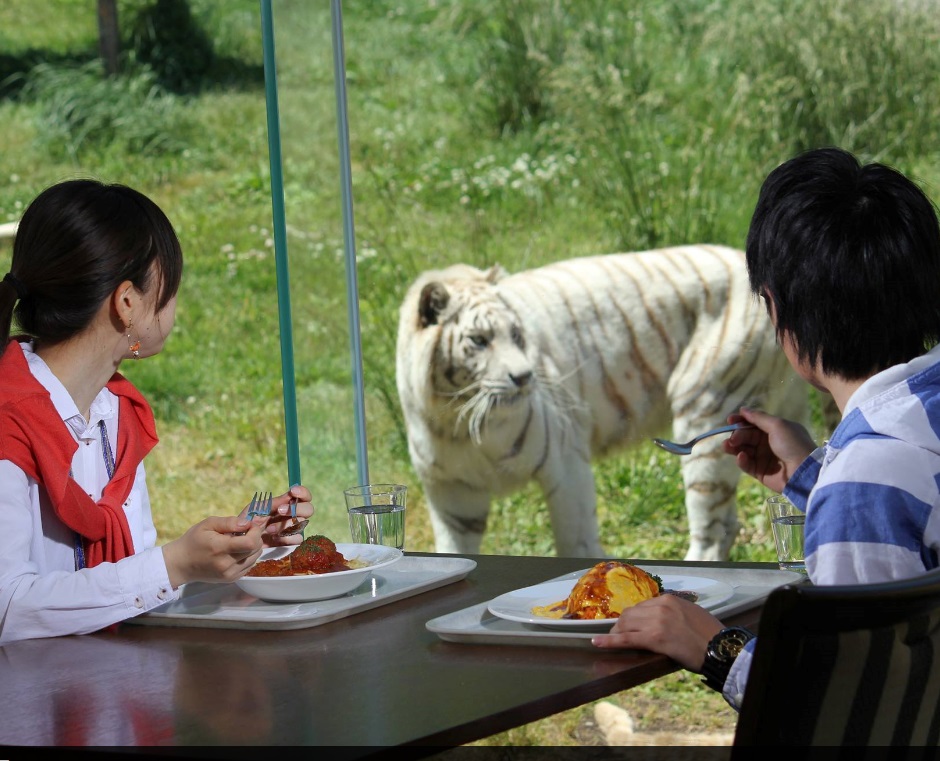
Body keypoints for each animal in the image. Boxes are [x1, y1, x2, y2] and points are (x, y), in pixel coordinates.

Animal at [394, 243, 808, 560]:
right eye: (479, 341)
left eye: (516, 334)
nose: (525, 376)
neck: (457, 418)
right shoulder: (452, 495)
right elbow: (452, 550)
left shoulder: (565, 461)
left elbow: (575, 540)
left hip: (703, 408)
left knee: (715, 528)